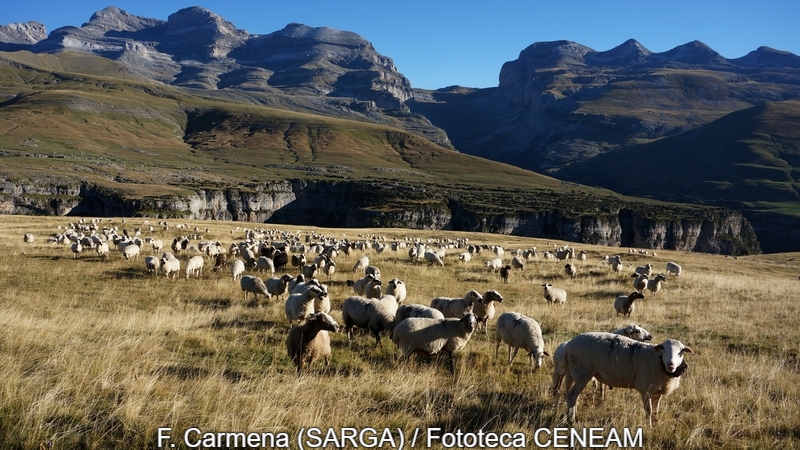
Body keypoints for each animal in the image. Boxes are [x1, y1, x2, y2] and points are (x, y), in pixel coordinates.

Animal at [556, 332, 692, 428]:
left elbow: (655, 411)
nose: (671, 365)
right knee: (572, 395)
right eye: (664, 349)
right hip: (582, 371)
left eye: (680, 352)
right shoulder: (645, 389)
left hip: (574, 373)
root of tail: (568, 346)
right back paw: (571, 420)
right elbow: (648, 410)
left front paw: (655, 424)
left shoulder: (657, 392)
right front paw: (648, 426)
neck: (658, 361)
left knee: (572, 394)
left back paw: (572, 413)